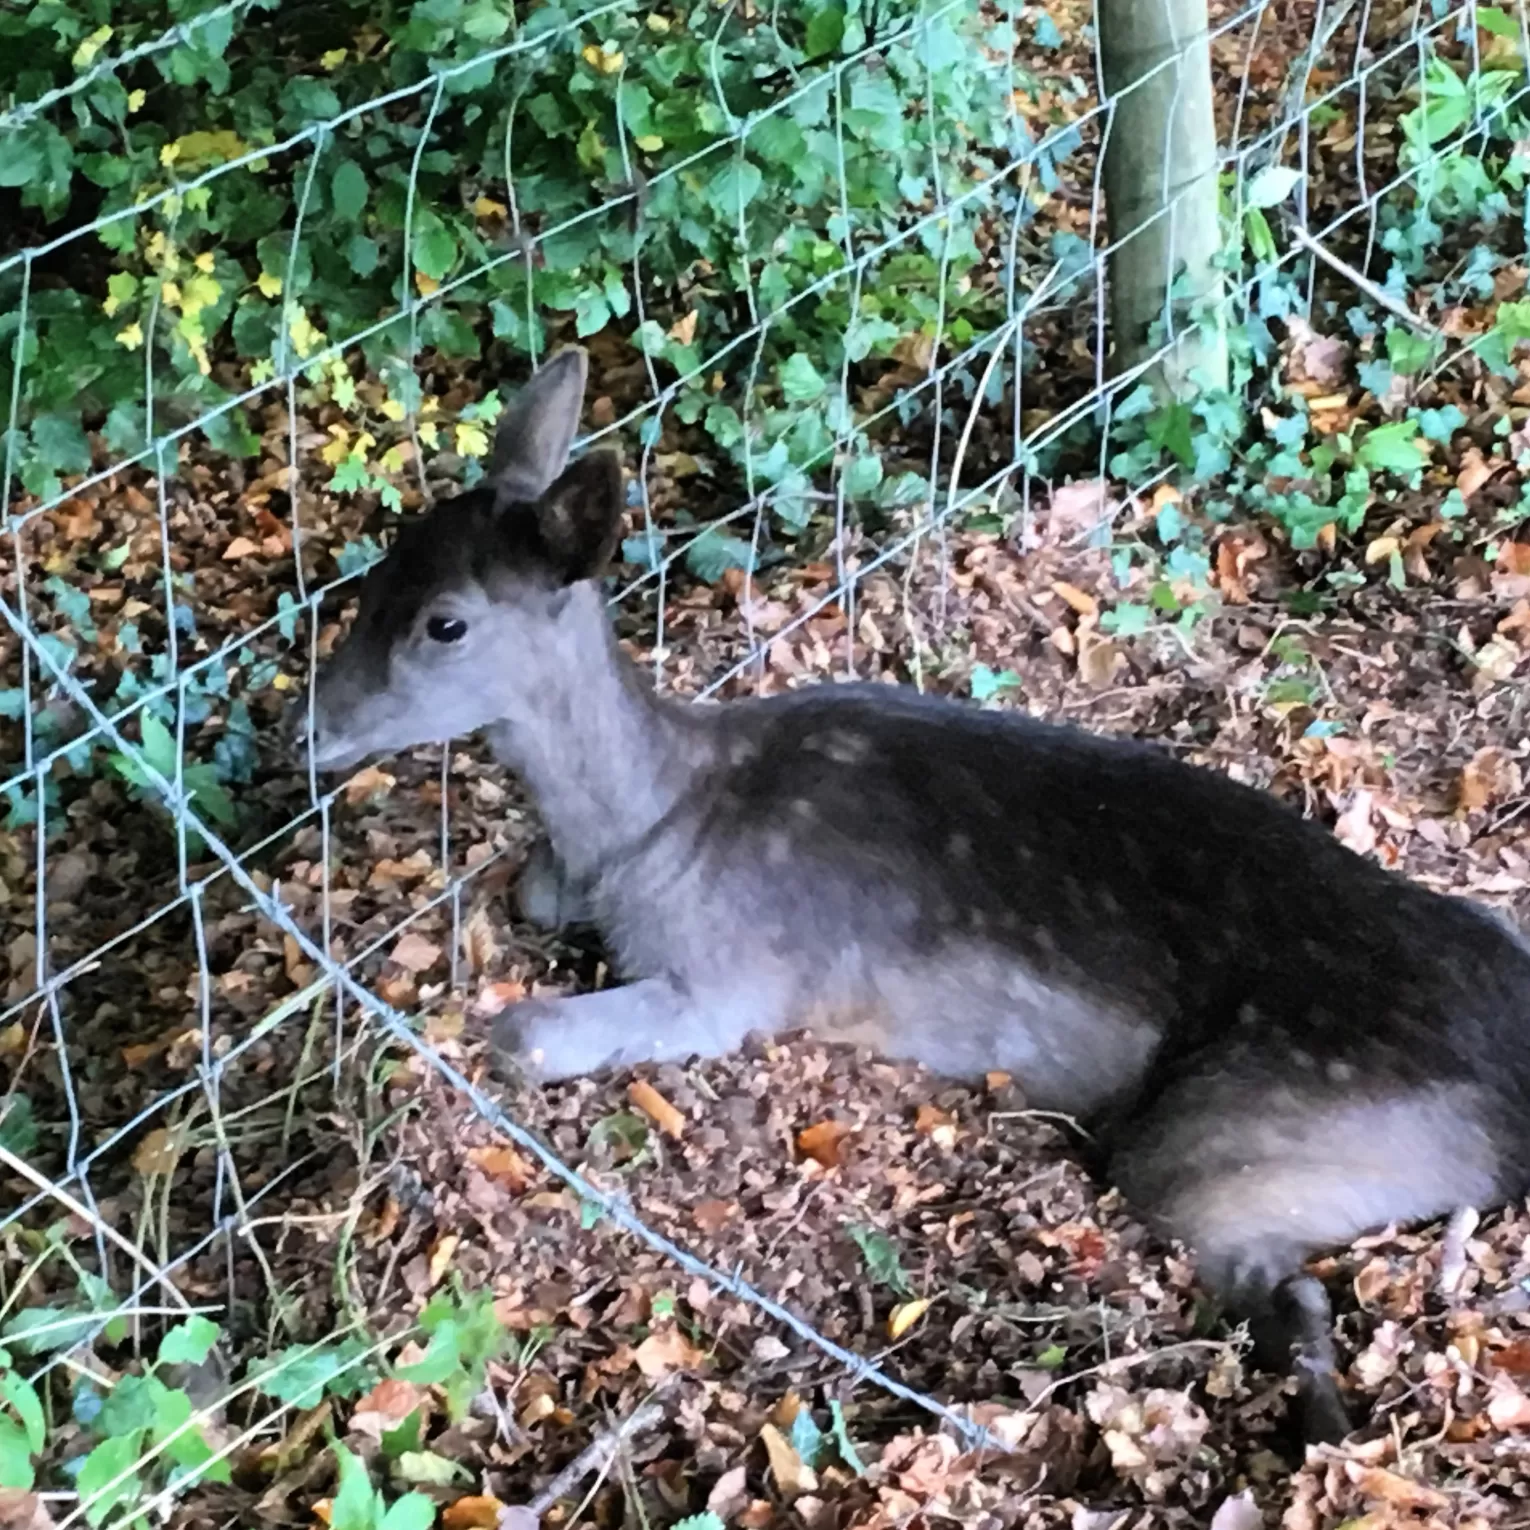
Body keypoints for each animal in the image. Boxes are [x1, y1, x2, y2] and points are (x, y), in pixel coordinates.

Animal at [304, 347, 1530, 1444]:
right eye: (379, 571)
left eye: (446, 621)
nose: (309, 731)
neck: (647, 832)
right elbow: (526, 896)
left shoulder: (733, 979)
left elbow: (521, 1033)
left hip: (1255, 1129)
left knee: (1289, 1284)